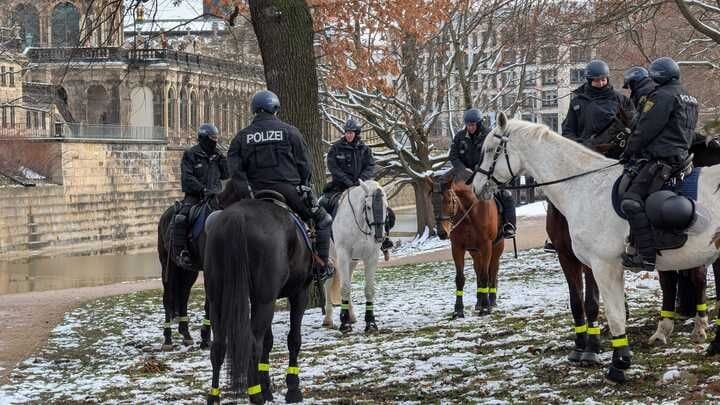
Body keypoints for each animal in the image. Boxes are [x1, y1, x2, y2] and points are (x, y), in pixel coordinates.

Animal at [204, 181, 314, 404]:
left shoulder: (262, 299)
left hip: (218, 299)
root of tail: (237, 217)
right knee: (253, 344)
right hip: (265, 300)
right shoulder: (299, 294)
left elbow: (268, 342)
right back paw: (255, 395)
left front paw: (267, 387)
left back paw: (214, 396)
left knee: (218, 347)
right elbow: (293, 339)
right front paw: (292, 388)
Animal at [322, 179, 388, 332]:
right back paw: (328, 319)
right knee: (328, 284)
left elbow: (369, 289)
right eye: (368, 207)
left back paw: (351, 315)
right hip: (332, 259)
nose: (379, 237)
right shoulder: (343, 256)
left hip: (353, 261)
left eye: (386, 207)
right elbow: (345, 288)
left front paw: (370, 323)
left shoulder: (371, 258)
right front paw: (344, 324)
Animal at [430, 175, 504, 318]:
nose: (442, 232)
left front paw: (486, 308)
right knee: (478, 271)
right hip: (475, 253)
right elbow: (460, 279)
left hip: (497, 247)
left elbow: (485, 276)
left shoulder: (486, 247)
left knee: (492, 270)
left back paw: (491, 300)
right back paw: (479, 302)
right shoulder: (457, 248)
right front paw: (458, 310)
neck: (469, 216)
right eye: (432, 202)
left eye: (449, 201)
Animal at [472, 113, 720, 382]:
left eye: (490, 149)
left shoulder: (603, 266)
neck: (584, 187)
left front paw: (618, 364)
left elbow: (612, 314)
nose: (476, 186)